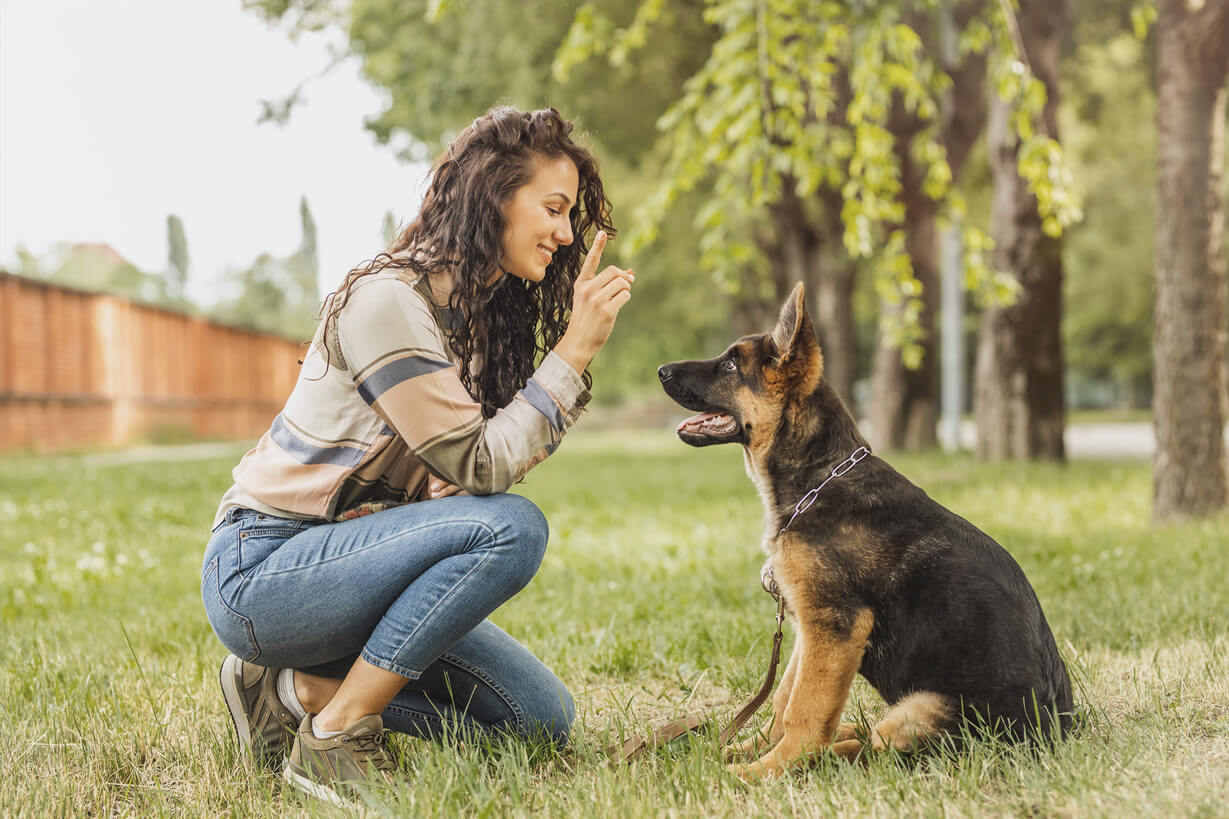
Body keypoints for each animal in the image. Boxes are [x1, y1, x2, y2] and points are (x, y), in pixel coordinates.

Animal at [658, 284, 1071, 777]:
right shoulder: (808, 626)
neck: (820, 478)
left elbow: (804, 710)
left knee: (882, 754)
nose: (661, 370)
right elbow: (785, 699)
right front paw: (750, 749)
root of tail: (1057, 734)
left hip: (925, 711)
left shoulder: (835, 625)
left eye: (730, 365)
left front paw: (766, 770)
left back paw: (827, 755)